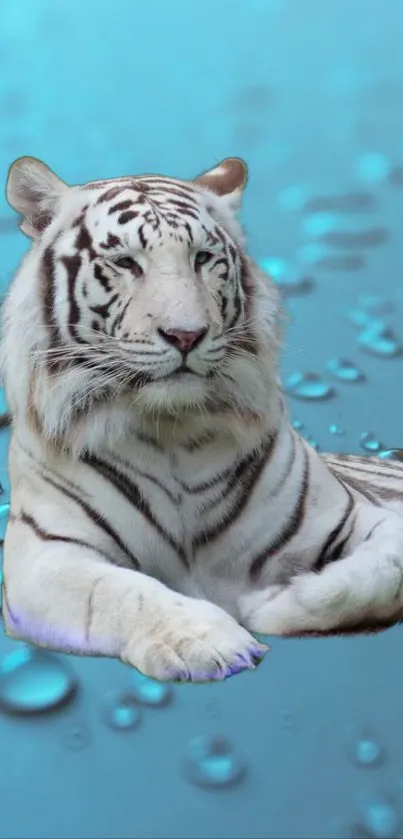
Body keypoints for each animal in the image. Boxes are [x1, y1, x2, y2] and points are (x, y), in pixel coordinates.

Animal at [0, 156, 403, 684]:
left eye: (203, 258)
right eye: (126, 263)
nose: (186, 335)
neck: (172, 430)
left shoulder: (358, 515)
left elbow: (386, 570)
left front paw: (270, 603)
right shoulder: (43, 555)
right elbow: (122, 591)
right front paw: (212, 642)